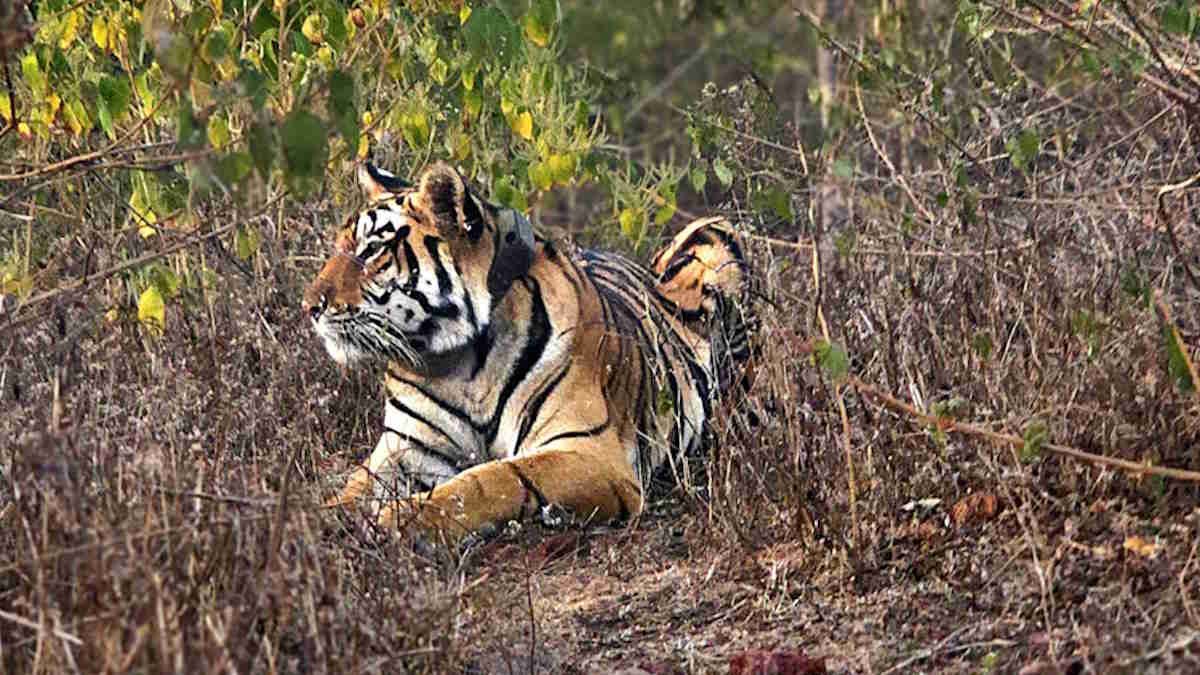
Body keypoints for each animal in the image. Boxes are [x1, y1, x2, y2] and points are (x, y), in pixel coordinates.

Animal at [304, 161, 757, 547]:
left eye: (371, 251)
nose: (309, 306)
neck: (458, 365)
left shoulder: (588, 452)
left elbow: (489, 481)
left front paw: (397, 521)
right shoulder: (404, 450)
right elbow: (351, 489)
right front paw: (315, 526)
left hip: (714, 231)